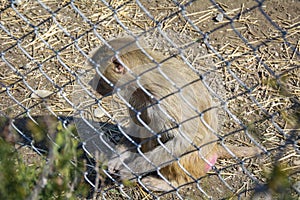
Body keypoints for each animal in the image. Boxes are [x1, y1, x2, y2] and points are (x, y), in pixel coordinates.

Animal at [88, 36, 262, 191]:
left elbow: (182, 140)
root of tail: (213, 148)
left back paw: (172, 182)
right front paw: (120, 156)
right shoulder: (137, 98)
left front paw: (130, 171)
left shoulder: (164, 100)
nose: (91, 82)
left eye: (99, 74)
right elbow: (138, 125)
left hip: (195, 159)